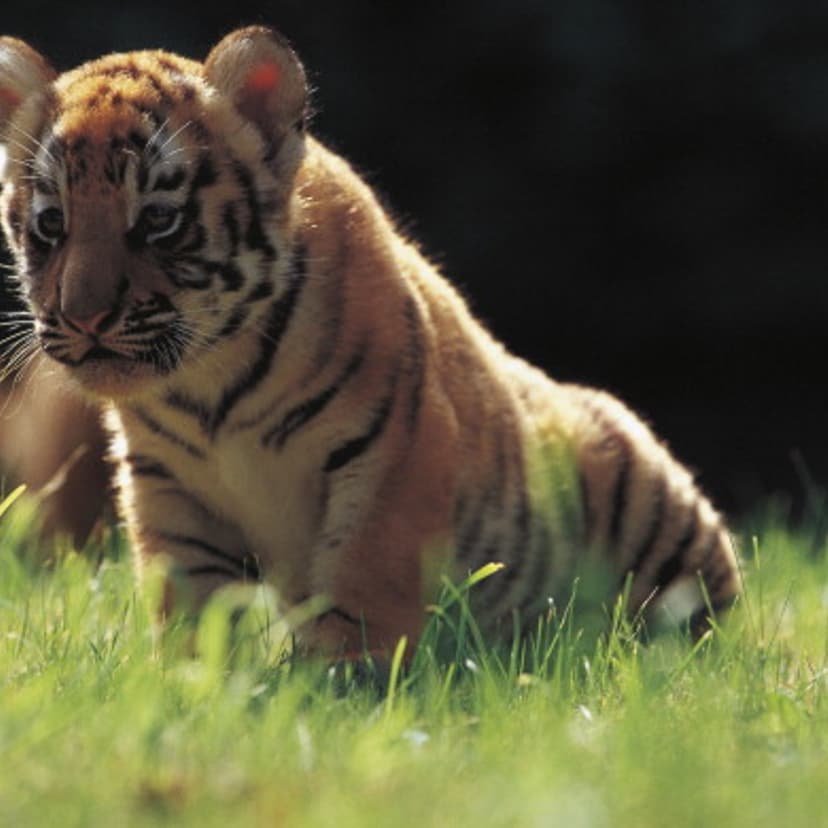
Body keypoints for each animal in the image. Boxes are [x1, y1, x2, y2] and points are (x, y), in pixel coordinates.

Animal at [0, 26, 740, 655]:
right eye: (51, 223)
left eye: (158, 219)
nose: (84, 316)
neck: (207, 385)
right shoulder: (167, 482)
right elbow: (191, 598)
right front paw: (196, 686)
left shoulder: (398, 449)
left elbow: (365, 572)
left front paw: (343, 685)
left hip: (645, 495)